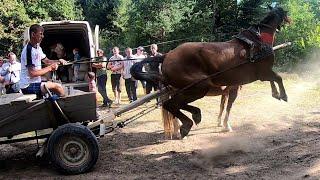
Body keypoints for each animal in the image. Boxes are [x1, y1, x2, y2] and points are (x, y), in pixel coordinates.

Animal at [131, 6, 292, 137]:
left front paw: (276, 94)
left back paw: (194, 116)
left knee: (174, 105)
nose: (290, 20)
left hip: (186, 89)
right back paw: (188, 123)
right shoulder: (261, 74)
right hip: (199, 87)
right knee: (171, 105)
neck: (258, 41)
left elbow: (272, 80)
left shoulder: (260, 75)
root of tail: (167, 55)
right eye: (285, 13)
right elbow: (278, 78)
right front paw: (283, 95)